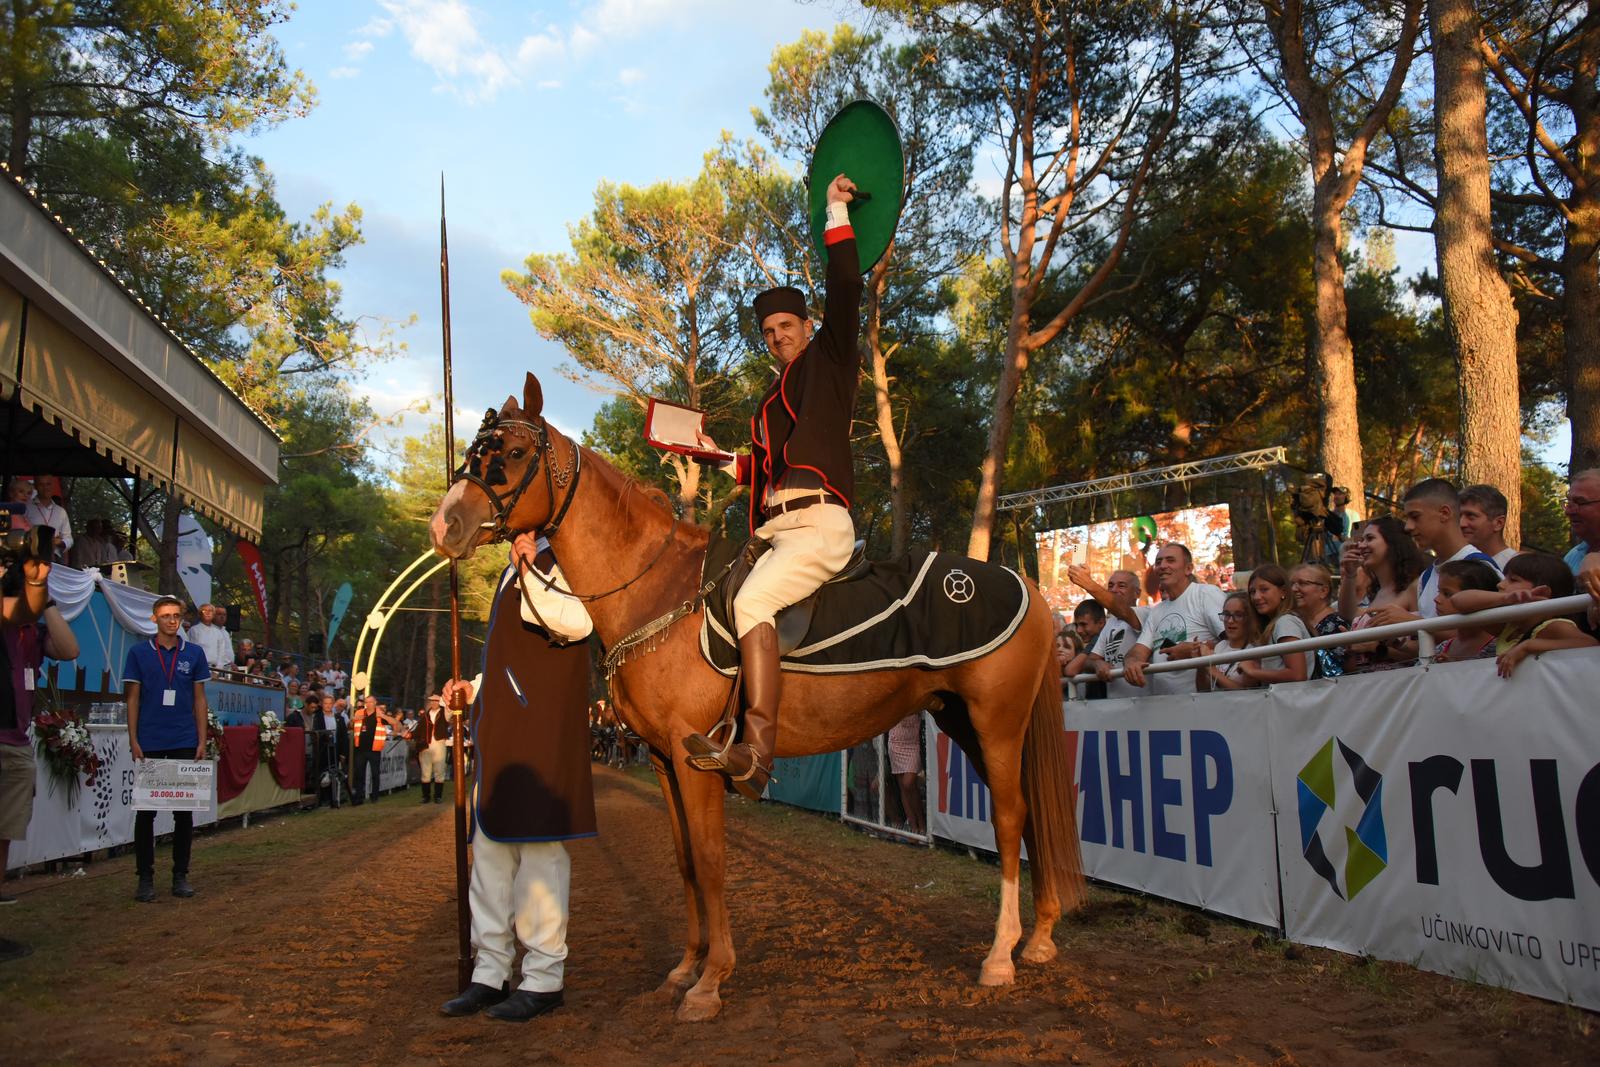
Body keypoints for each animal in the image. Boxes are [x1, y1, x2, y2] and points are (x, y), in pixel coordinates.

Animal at [432, 371, 1088, 1023]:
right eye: (472, 453)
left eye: (515, 454)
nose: (445, 526)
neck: (658, 590)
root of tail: (1023, 583)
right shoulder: (664, 760)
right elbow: (685, 862)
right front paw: (684, 969)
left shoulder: (695, 758)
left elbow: (712, 860)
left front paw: (710, 981)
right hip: (965, 724)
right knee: (1030, 817)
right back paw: (1039, 938)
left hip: (996, 724)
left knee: (1010, 819)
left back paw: (1001, 955)